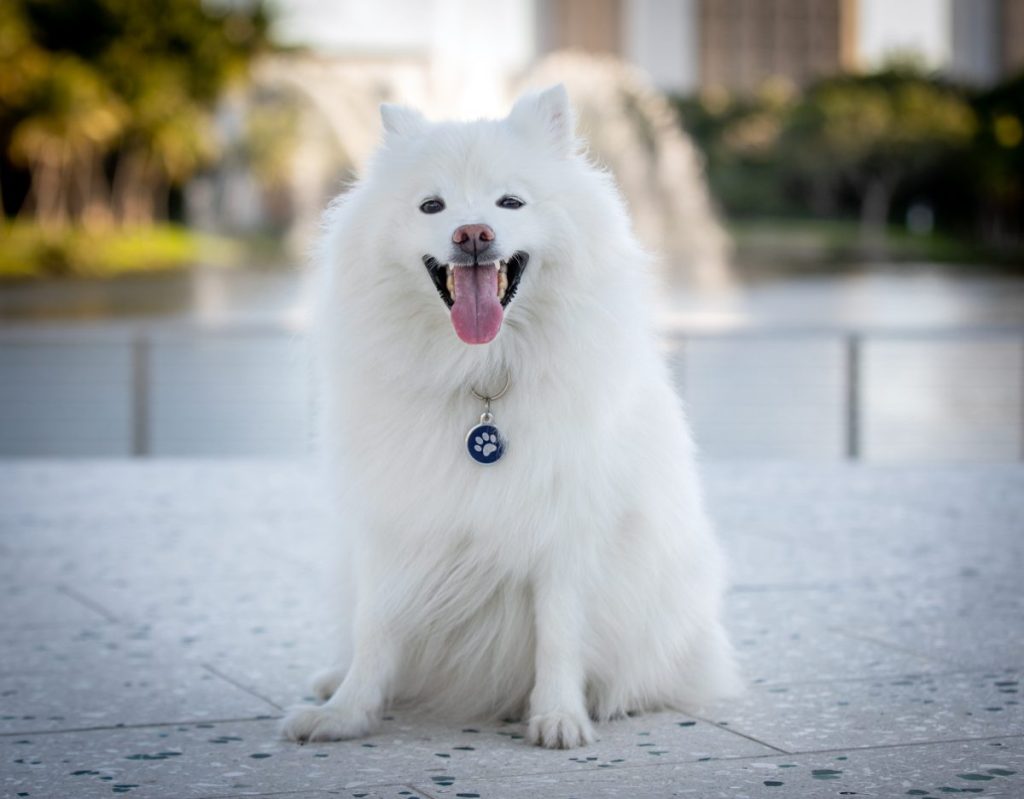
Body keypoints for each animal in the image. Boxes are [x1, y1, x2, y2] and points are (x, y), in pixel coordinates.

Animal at [282, 84, 737, 745]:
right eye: (432, 205)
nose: (473, 233)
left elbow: (560, 632)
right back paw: (329, 680)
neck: (481, 377)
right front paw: (346, 713)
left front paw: (558, 717)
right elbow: (375, 625)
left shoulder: (565, 526)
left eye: (511, 202)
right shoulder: (393, 519)